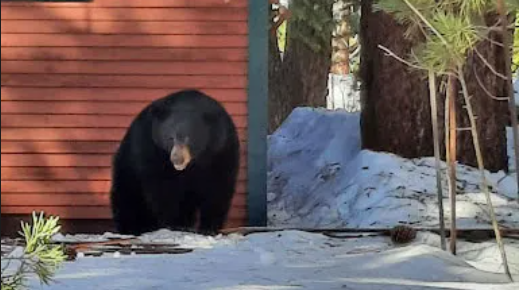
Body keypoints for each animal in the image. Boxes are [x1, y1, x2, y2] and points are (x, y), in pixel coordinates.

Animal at [110, 90, 241, 236]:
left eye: (188, 138)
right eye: (170, 138)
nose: (177, 159)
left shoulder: (221, 149)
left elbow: (218, 186)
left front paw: (209, 228)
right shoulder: (152, 148)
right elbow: (163, 187)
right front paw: (176, 224)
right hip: (127, 167)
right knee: (127, 198)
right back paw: (134, 227)